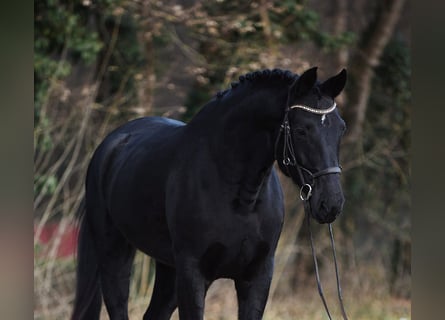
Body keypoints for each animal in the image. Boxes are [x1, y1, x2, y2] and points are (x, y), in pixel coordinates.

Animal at [71, 66, 346, 318]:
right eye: (301, 130)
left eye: (340, 128)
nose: (331, 203)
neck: (240, 200)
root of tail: (111, 144)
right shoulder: (193, 274)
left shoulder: (257, 277)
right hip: (114, 255)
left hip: (168, 268)